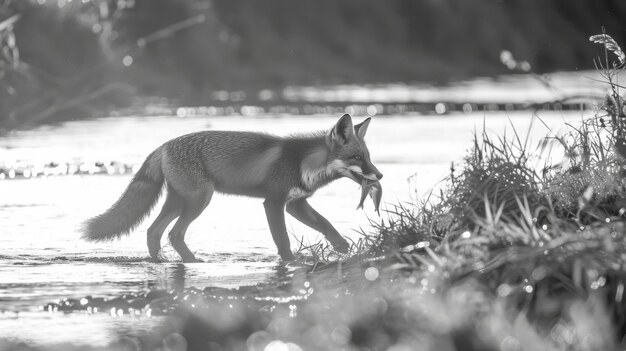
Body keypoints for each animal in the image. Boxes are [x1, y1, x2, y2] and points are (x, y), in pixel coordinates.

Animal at [80, 114, 382, 262]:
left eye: (368, 157)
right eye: (357, 158)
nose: (379, 175)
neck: (302, 163)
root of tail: (162, 146)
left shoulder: (296, 204)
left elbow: (327, 224)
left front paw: (343, 248)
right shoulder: (274, 203)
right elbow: (282, 240)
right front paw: (290, 261)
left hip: (178, 201)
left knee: (154, 232)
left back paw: (161, 261)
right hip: (200, 200)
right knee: (174, 233)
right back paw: (192, 261)